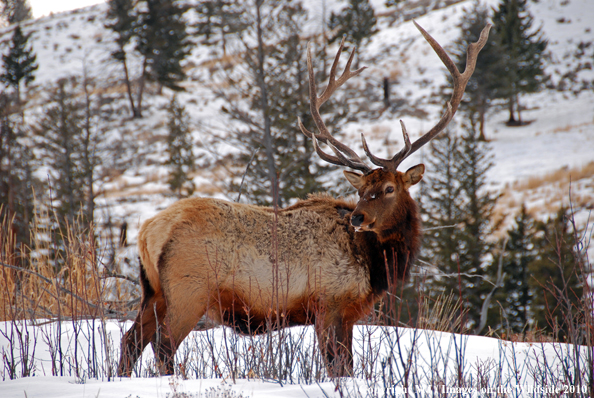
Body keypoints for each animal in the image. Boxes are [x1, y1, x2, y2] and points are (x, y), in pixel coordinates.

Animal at [118, 22, 488, 380]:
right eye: (362, 190)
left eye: (388, 189)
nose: (357, 218)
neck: (374, 264)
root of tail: (148, 231)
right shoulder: (330, 303)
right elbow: (337, 366)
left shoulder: (347, 312)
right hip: (188, 290)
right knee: (162, 345)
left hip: (153, 291)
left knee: (130, 340)